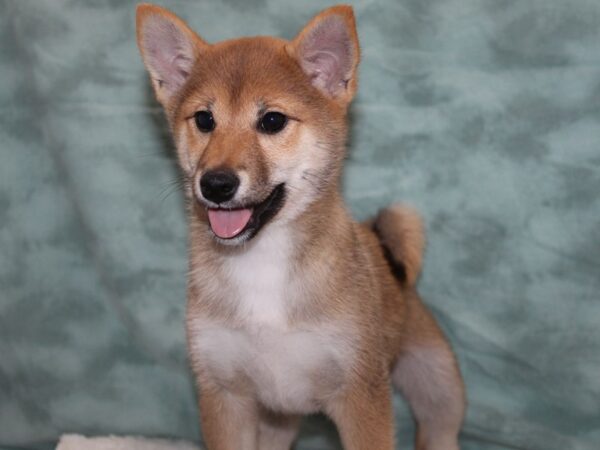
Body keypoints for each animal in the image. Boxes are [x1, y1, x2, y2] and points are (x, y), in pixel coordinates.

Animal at [138, 4, 466, 450]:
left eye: (272, 121)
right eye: (204, 120)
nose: (216, 184)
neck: (262, 263)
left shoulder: (362, 399)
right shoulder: (224, 396)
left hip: (439, 394)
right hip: (279, 419)